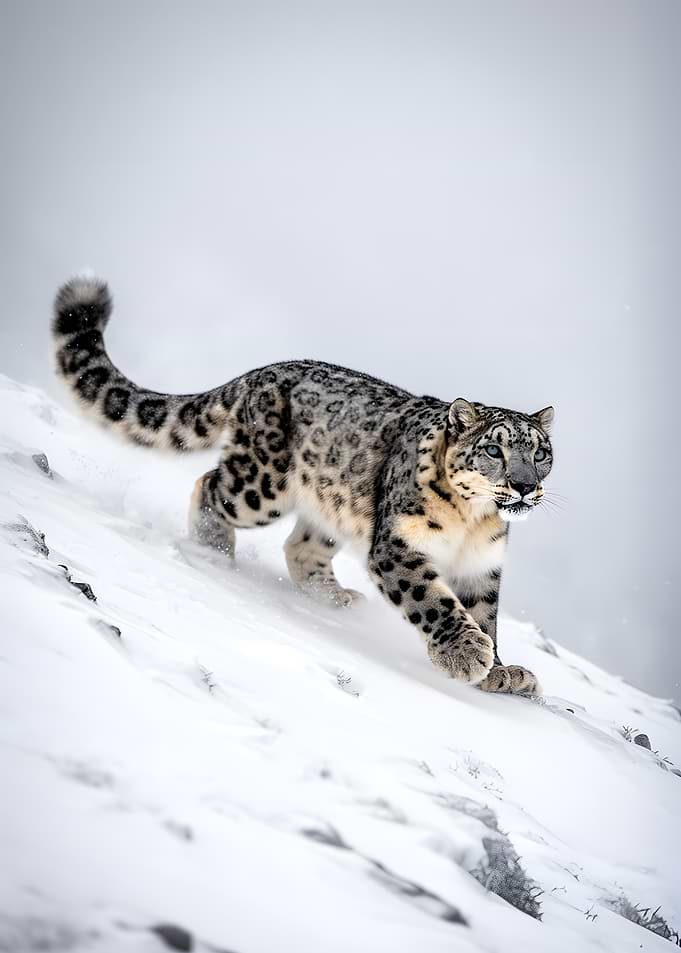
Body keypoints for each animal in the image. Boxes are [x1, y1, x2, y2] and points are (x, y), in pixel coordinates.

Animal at [52, 275, 555, 695]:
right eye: (495, 450)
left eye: (541, 453)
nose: (524, 485)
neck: (472, 521)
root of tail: (264, 370)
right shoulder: (397, 544)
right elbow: (433, 599)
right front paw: (466, 655)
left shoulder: (481, 567)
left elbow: (484, 615)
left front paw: (502, 672)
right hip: (260, 484)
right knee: (210, 485)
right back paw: (213, 552)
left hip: (328, 503)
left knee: (301, 546)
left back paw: (335, 598)